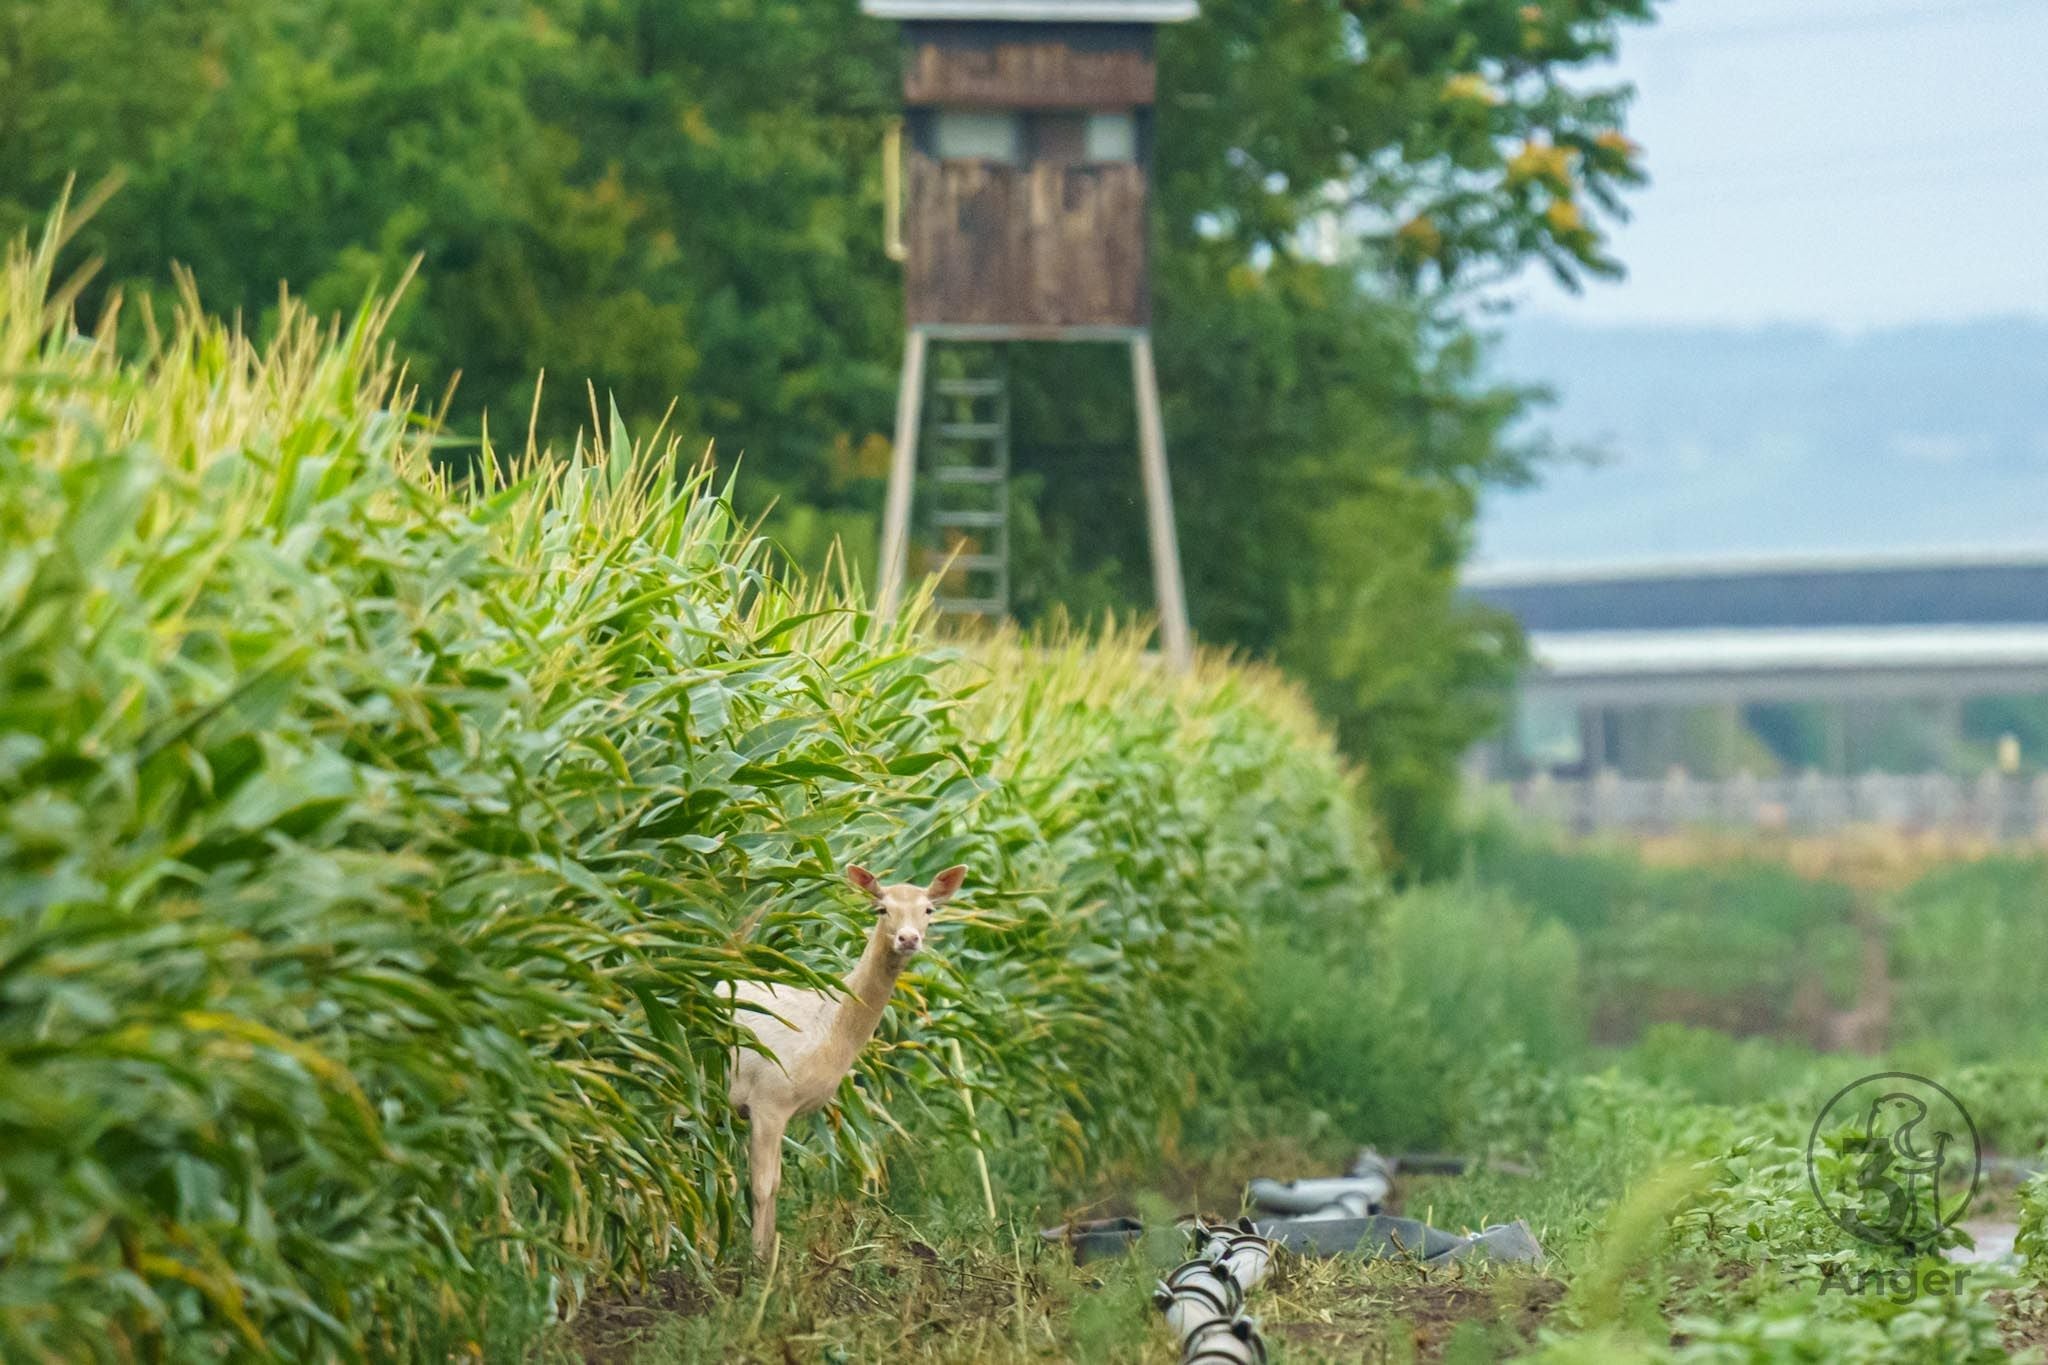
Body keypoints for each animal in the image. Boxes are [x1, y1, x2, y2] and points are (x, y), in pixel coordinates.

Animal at [728, 862, 969, 1259]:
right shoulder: (768, 1097)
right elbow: (763, 1185)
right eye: (881, 908)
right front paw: (758, 1261)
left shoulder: (780, 1108)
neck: (823, 1024)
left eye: (929, 910)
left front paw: (769, 1255)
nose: (908, 938)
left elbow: (776, 1182)